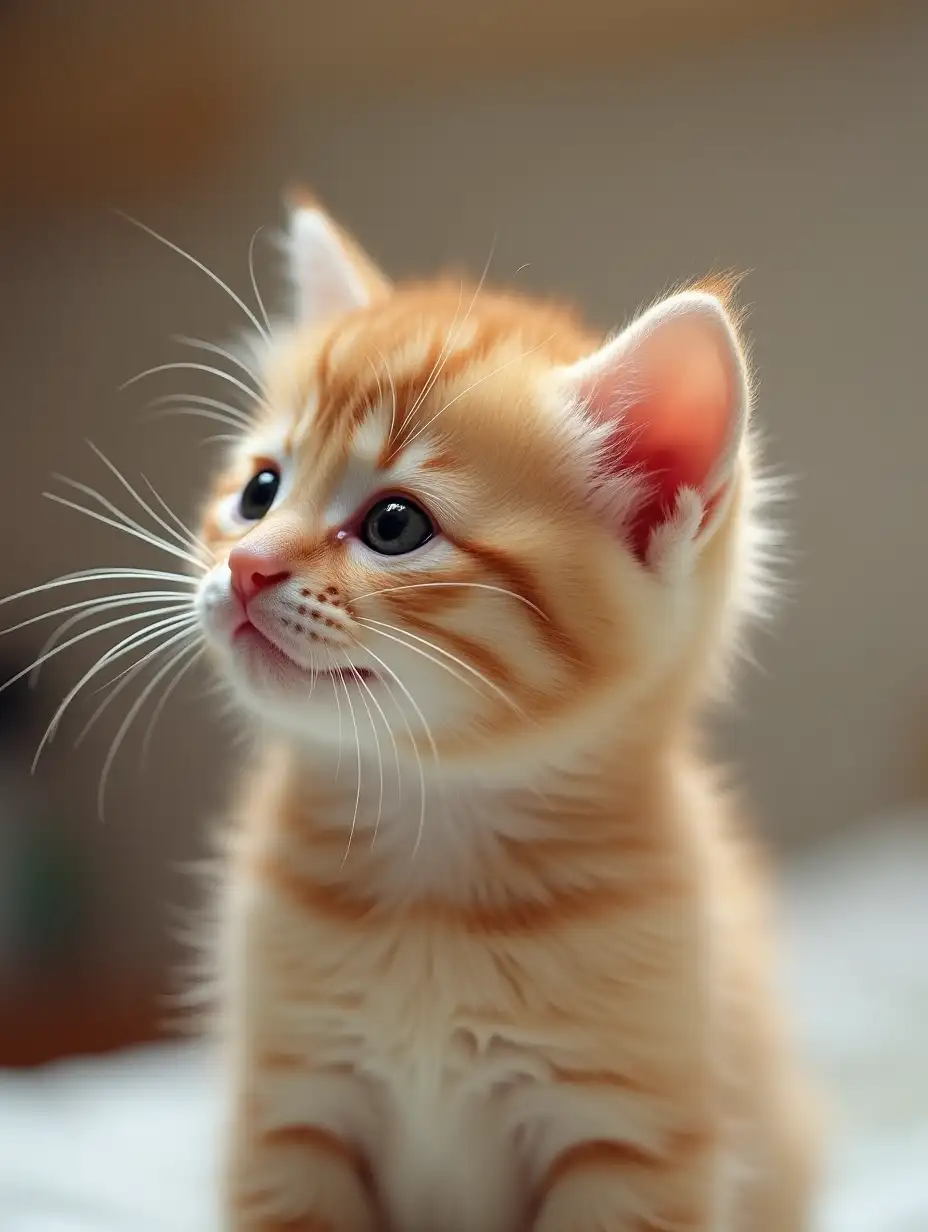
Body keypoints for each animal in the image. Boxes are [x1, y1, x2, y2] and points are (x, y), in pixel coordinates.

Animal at [192, 202, 813, 1232]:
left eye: (394, 525)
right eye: (259, 492)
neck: (433, 869)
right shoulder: (287, 1115)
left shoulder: (629, 1140)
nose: (246, 568)